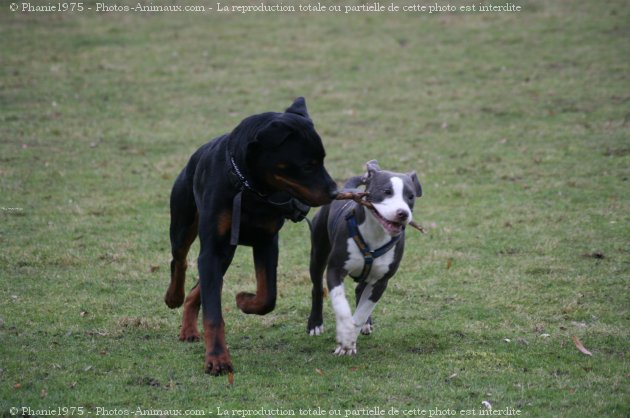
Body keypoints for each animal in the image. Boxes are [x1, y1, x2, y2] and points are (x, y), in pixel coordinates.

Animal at [165, 97, 338, 376]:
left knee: (198, 288)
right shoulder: (212, 249)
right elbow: (213, 315)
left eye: (322, 159)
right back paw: (173, 297)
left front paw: (244, 300)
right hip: (184, 224)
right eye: (307, 165)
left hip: (227, 252)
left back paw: (189, 327)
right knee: (179, 260)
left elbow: (268, 296)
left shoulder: (266, 241)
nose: (335, 192)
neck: (249, 188)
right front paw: (217, 359)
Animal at [308, 162, 422, 354]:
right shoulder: (335, 269)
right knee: (317, 288)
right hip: (318, 253)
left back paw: (366, 324)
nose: (403, 213)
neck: (375, 234)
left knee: (360, 291)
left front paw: (349, 339)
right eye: (386, 191)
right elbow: (340, 303)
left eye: (411, 196)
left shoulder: (381, 282)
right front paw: (345, 332)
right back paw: (315, 324)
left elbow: (362, 311)